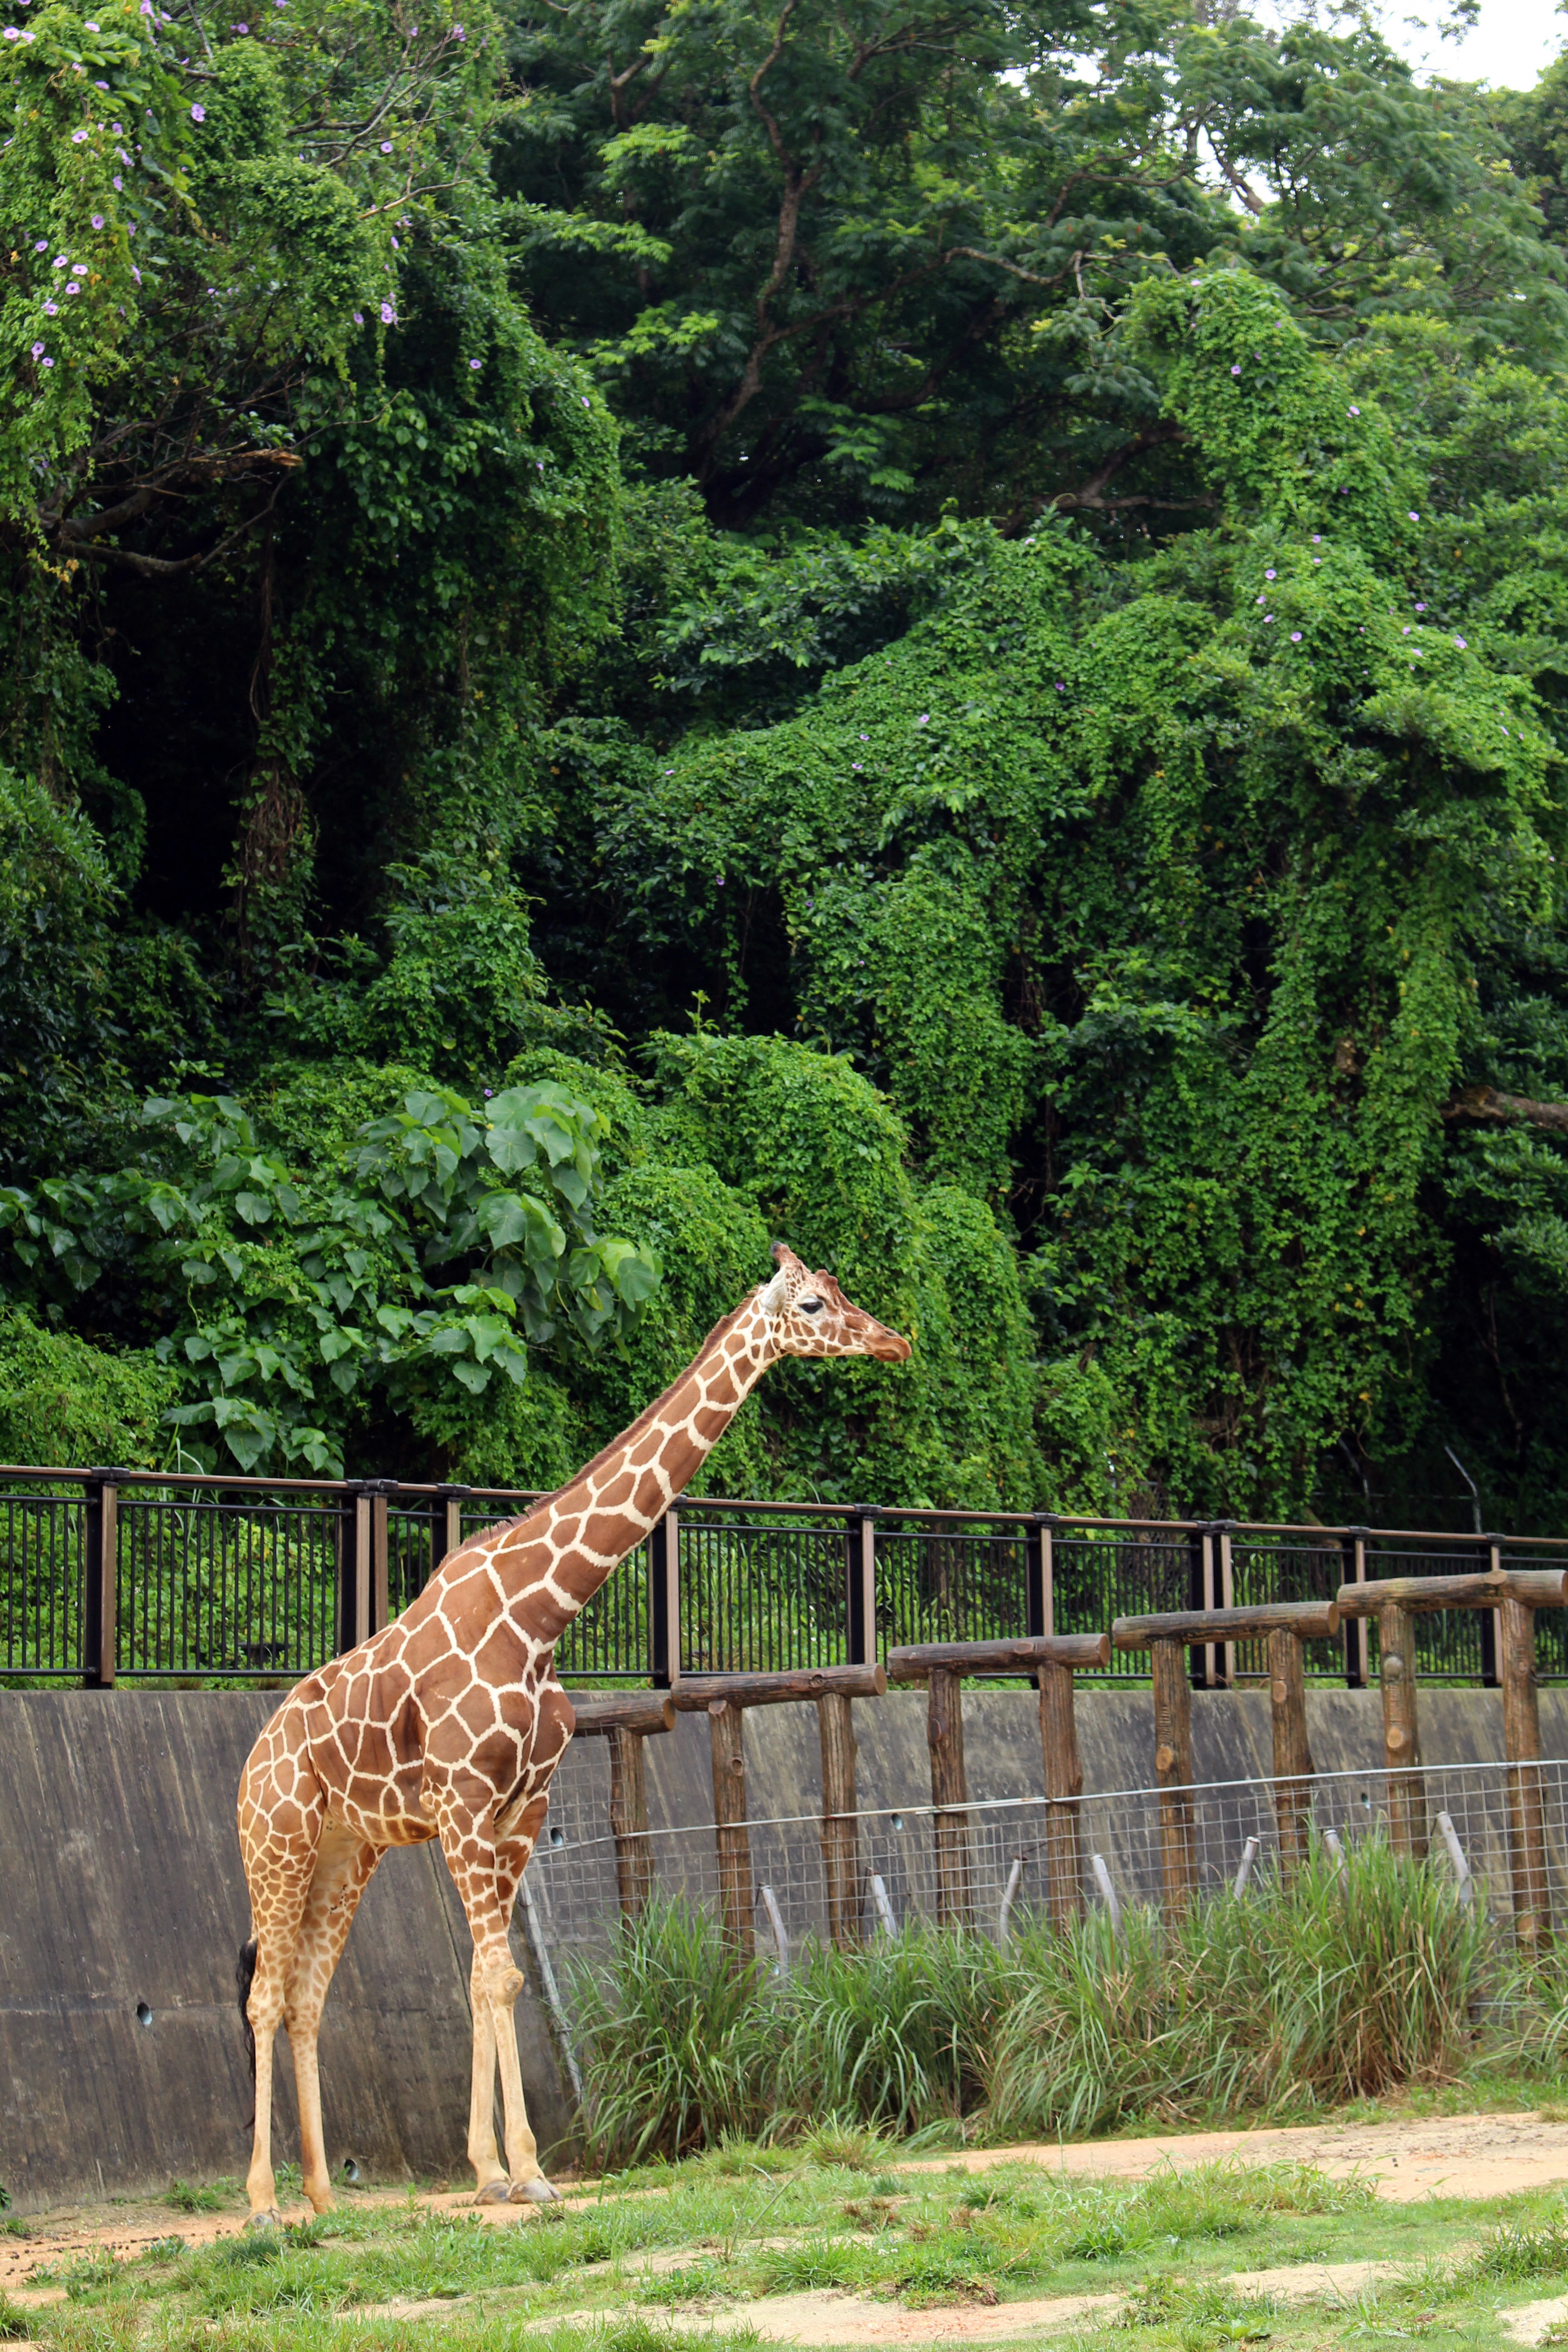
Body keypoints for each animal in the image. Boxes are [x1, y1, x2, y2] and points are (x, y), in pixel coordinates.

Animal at [240, 1251, 912, 2220]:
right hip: (278, 1839)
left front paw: (497, 2168)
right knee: (263, 1993)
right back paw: (261, 2199)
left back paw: (325, 2194)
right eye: (816, 1303)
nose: (894, 1341)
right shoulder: (465, 1803)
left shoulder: (521, 1808)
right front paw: (526, 2168)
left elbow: (491, 1977)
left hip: (346, 1851)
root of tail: (254, 1752)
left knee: (306, 1994)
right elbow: (495, 1975)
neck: (539, 1614)